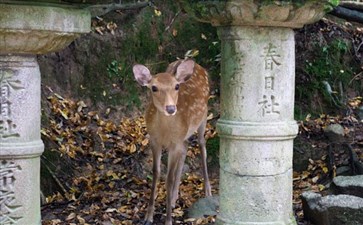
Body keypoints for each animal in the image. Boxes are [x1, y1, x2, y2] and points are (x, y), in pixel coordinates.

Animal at [133, 59, 213, 224]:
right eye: (154, 87)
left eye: (176, 86)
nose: (170, 108)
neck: (165, 133)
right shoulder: (154, 140)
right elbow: (156, 172)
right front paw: (148, 216)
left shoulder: (174, 144)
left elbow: (169, 178)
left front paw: (168, 219)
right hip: (183, 137)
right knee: (186, 147)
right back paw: (175, 197)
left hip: (204, 116)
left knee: (202, 145)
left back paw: (208, 191)